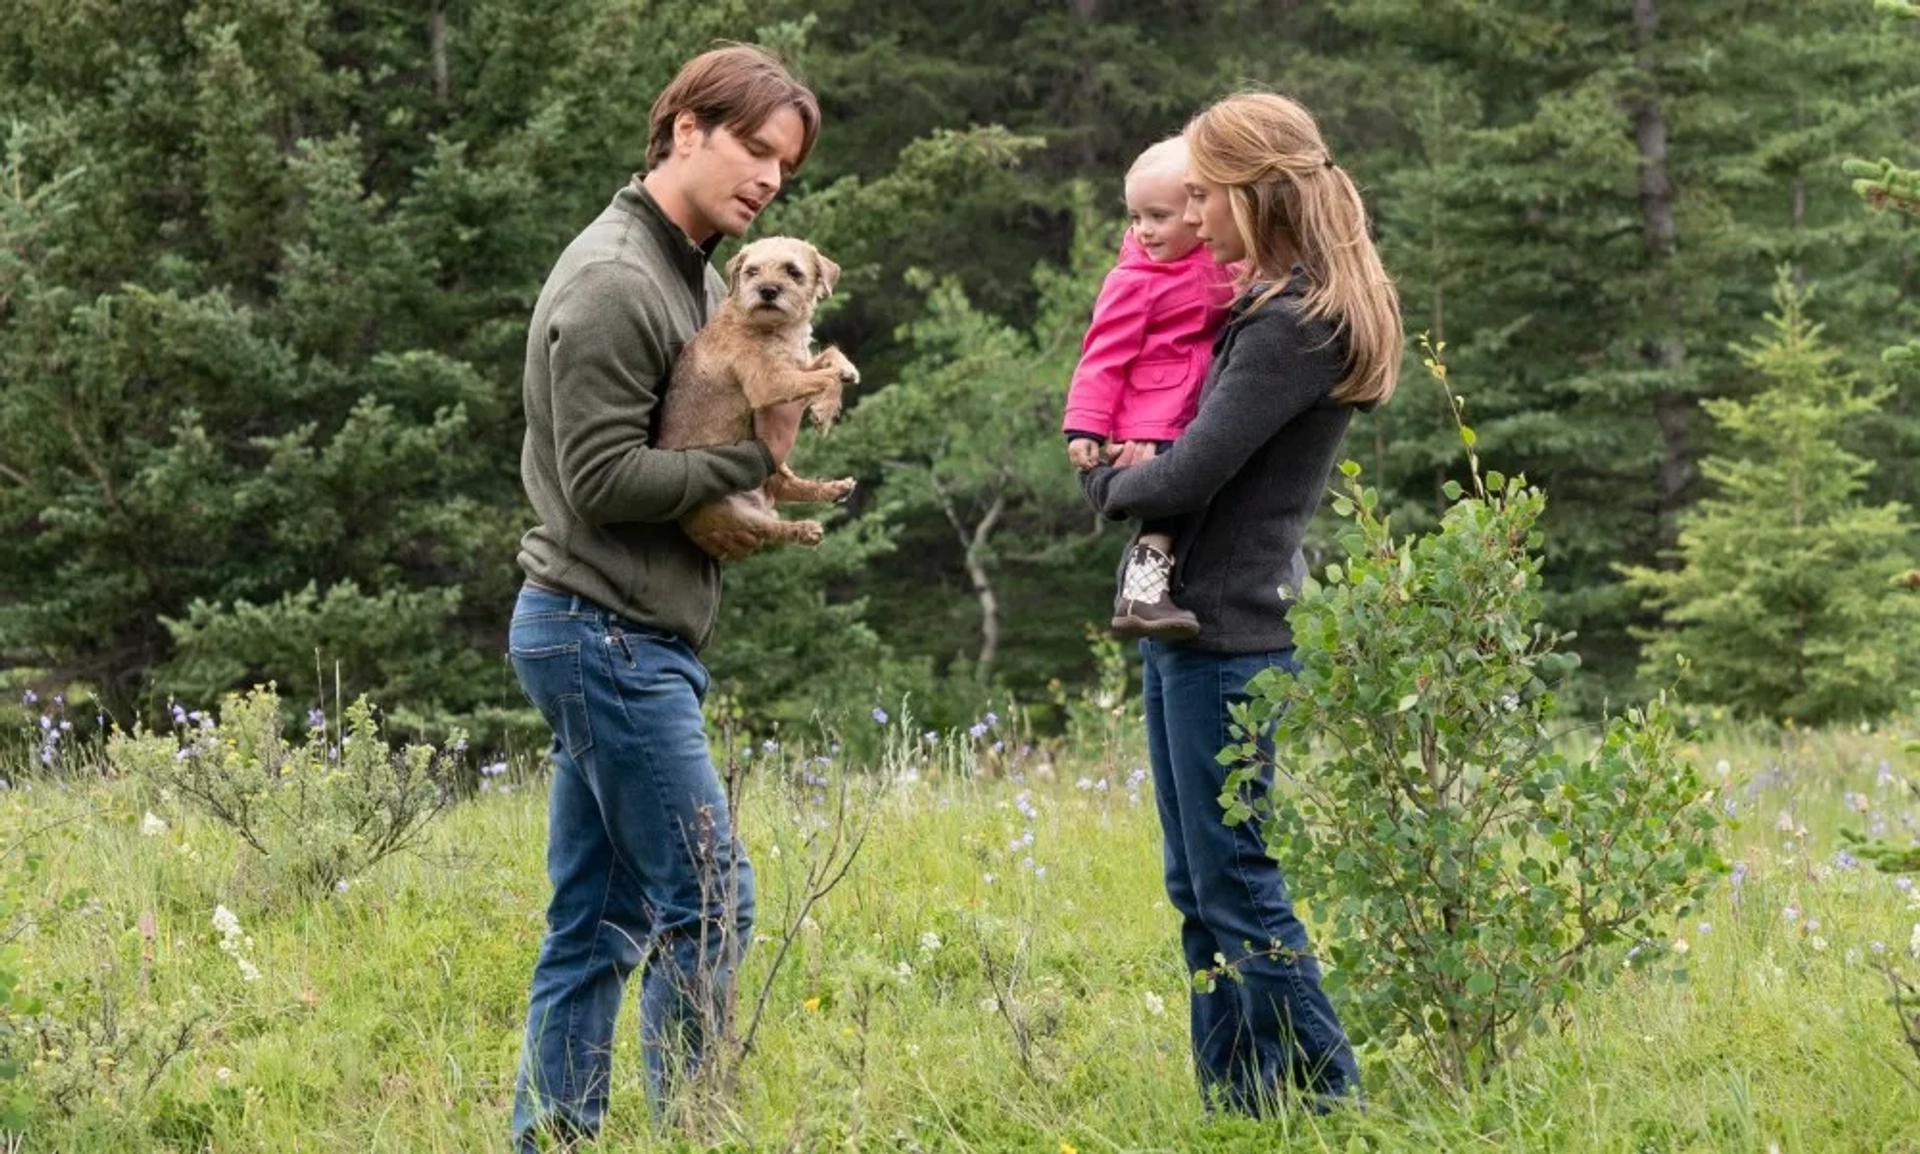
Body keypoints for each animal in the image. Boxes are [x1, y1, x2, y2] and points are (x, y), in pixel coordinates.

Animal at [656, 234, 860, 549]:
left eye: (793, 271)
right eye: (752, 271)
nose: (767, 290)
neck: (774, 327)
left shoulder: (798, 366)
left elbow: (830, 355)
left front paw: (847, 370)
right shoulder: (769, 381)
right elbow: (826, 377)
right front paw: (824, 411)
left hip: (775, 468)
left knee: (788, 485)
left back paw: (835, 489)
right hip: (732, 512)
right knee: (771, 527)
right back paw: (805, 528)